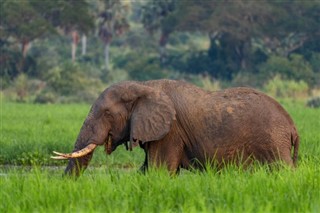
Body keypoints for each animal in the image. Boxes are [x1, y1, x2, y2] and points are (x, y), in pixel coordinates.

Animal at [51, 79, 298, 176]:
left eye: (107, 114)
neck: (143, 86)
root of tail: (292, 126)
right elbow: (146, 171)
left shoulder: (170, 133)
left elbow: (160, 171)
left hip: (274, 142)